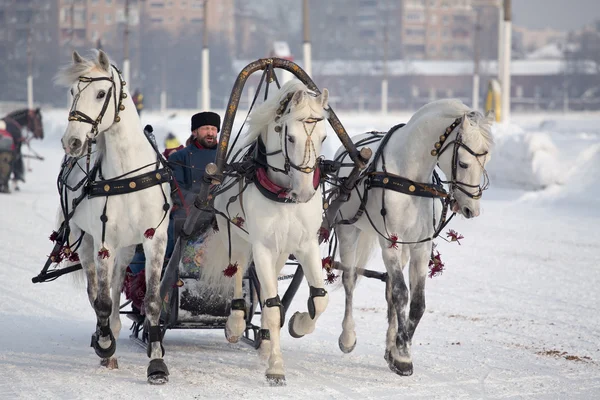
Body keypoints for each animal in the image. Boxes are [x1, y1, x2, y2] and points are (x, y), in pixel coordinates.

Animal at [197, 79, 328, 386]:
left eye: (324, 137)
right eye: (289, 137)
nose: (305, 192)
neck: (284, 195)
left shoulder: (306, 245)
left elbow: (319, 299)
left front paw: (299, 324)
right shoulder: (262, 247)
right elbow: (269, 305)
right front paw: (276, 368)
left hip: (280, 250)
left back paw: (266, 341)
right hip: (235, 236)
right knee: (236, 270)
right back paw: (235, 323)